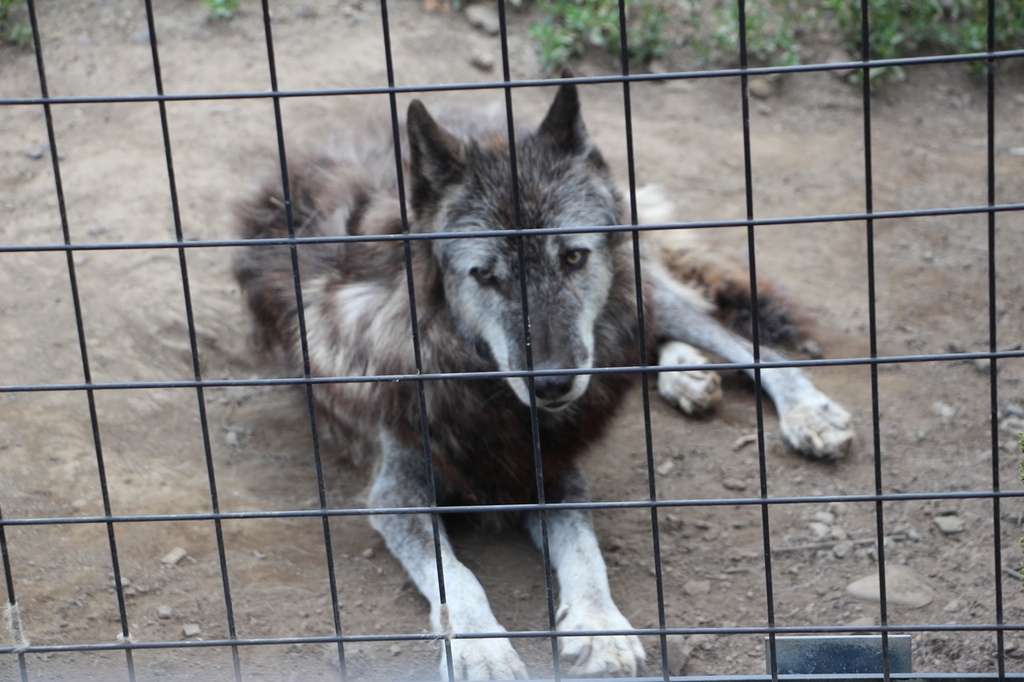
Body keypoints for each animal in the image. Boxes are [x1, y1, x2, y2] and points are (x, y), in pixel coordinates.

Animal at [234, 74, 856, 675]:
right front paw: (482, 650)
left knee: (723, 334)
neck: (488, 396)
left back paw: (800, 409)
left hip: (641, 287)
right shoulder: (395, 493)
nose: (553, 384)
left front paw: (601, 628)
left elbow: (584, 552)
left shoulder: (555, 468)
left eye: (573, 257)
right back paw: (688, 374)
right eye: (485, 275)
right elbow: (457, 578)